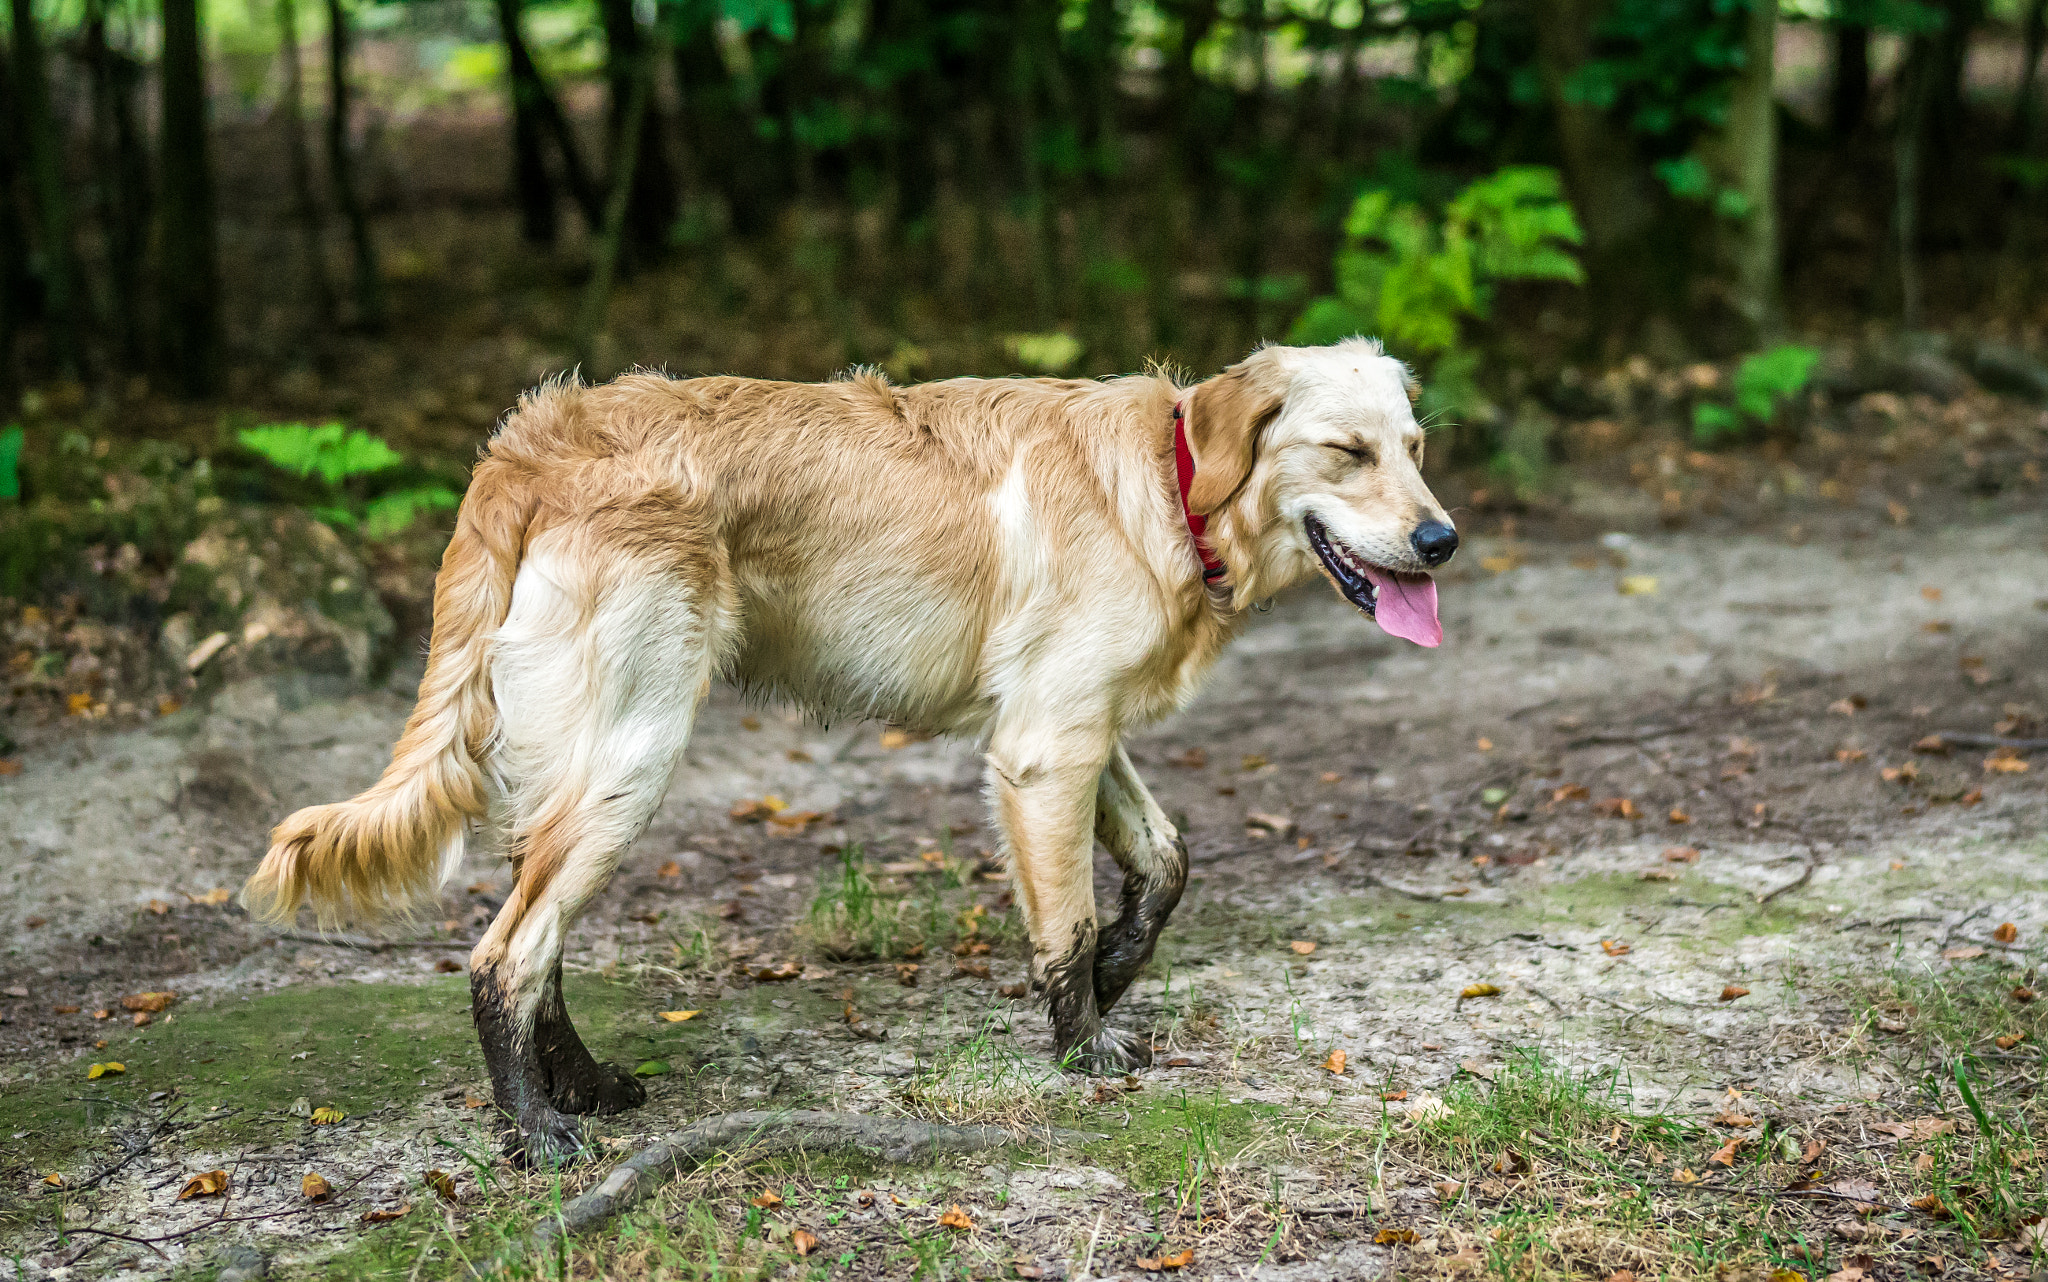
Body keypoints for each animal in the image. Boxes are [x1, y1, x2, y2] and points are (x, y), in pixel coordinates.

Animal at [239, 337, 1458, 1155]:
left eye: (1412, 448)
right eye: (1345, 453)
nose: (1443, 538)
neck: (1170, 487)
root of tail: (530, 447)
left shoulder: (1065, 732)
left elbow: (1165, 863)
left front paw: (1118, 969)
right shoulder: (1046, 747)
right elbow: (1063, 921)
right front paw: (1084, 1042)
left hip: (576, 767)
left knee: (533, 945)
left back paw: (578, 1085)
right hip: (632, 756)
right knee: (504, 957)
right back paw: (534, 1134)